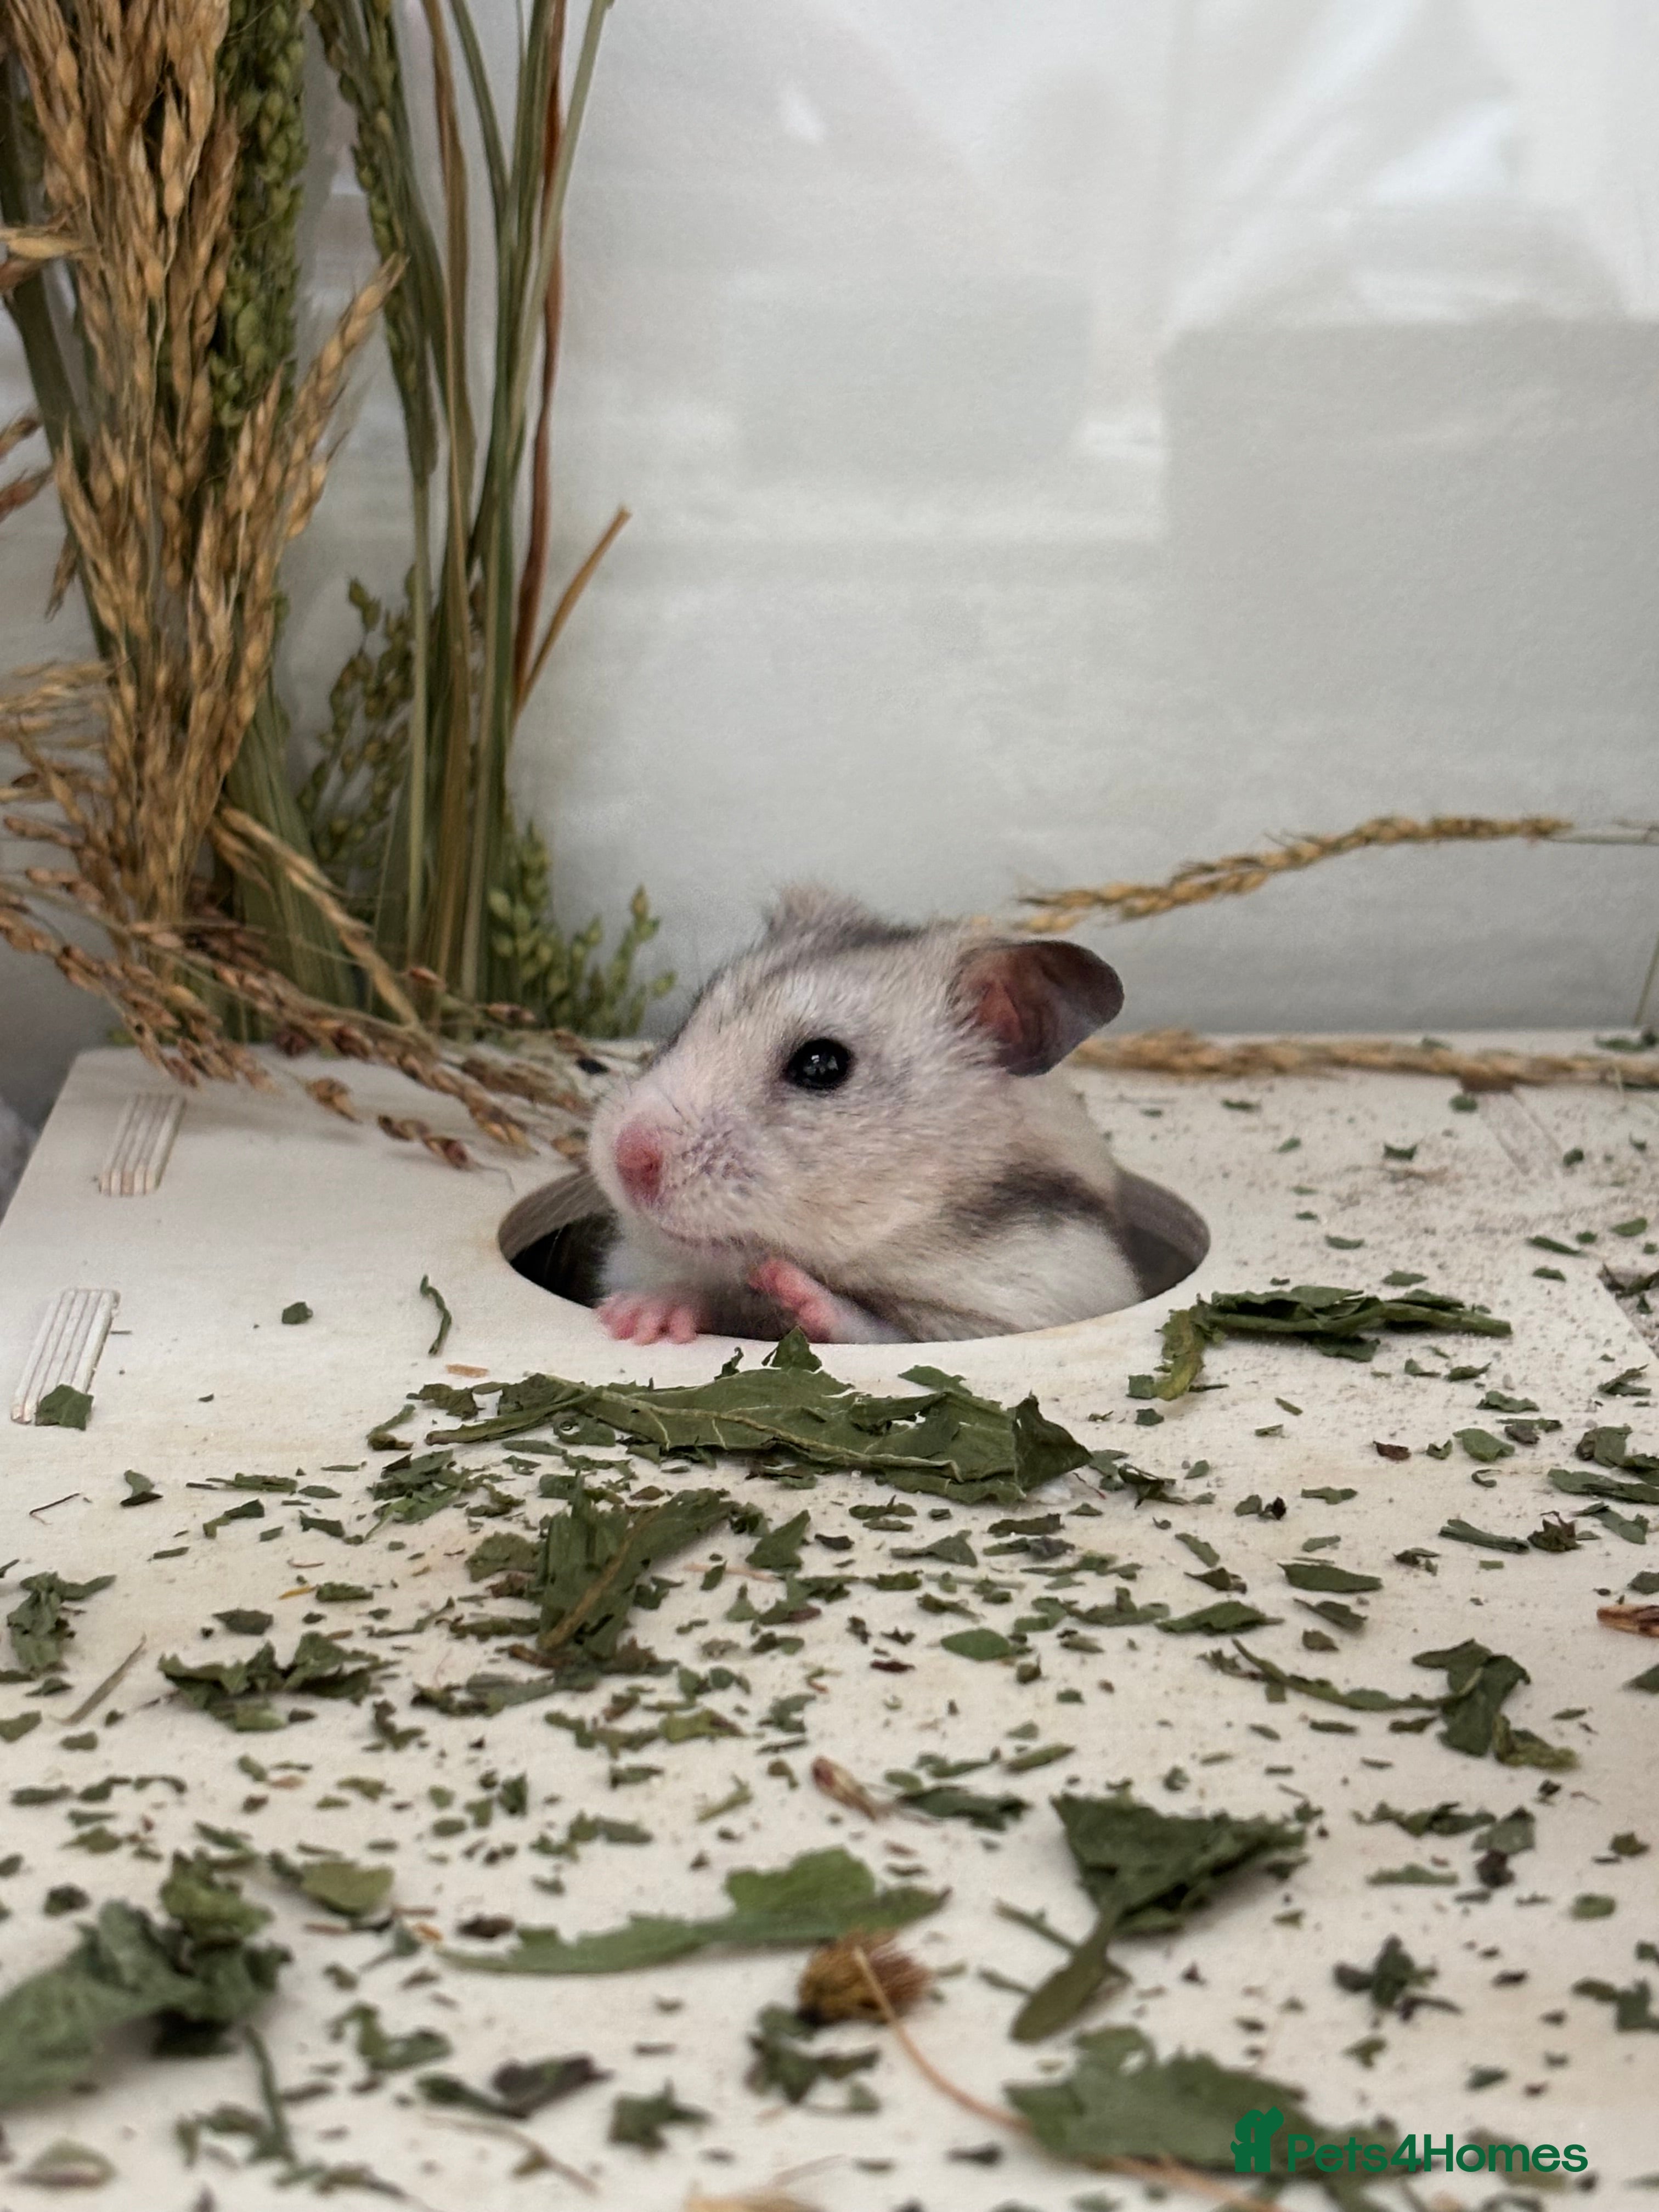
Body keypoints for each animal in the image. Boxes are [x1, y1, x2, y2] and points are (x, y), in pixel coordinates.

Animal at [587, 885, 1145, 1345]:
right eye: (688, 1021)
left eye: (823, 1064)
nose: (626, 1158)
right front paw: (636, 1318)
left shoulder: (1018, 1310)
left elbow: (876, 1329)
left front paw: (790, 1287)